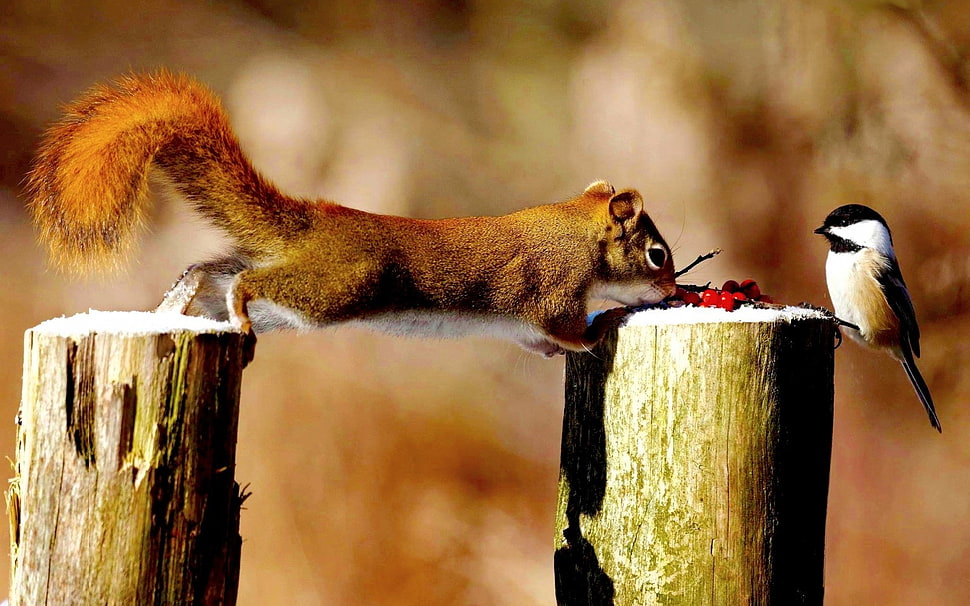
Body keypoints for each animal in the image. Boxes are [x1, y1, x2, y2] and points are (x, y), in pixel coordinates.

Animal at [27, 72, 677, 356]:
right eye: (656, 254)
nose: (673, 289)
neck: (574, 231)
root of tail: (318, 223)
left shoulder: (524, 326)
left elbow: (539, 342)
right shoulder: (552, 290)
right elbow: (564, 326)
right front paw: (602, 328)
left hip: (294, 300)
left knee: (210, 270)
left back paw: (174, 306)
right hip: (341, 284)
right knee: (246, 281)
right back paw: (229, 308)